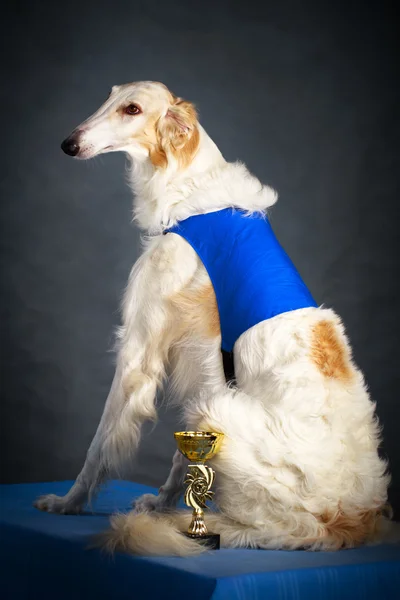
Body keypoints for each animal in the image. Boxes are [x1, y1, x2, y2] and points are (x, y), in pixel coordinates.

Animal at [34, 82, 390, 556]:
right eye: (108, 98)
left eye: (133, 109)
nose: (68, 144)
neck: (188, 188)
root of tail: (347, 522)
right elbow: (177, 462)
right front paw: (160, 503)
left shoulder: (140, 353)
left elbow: (100, 444)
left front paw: (67, 502)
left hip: (217, 412)